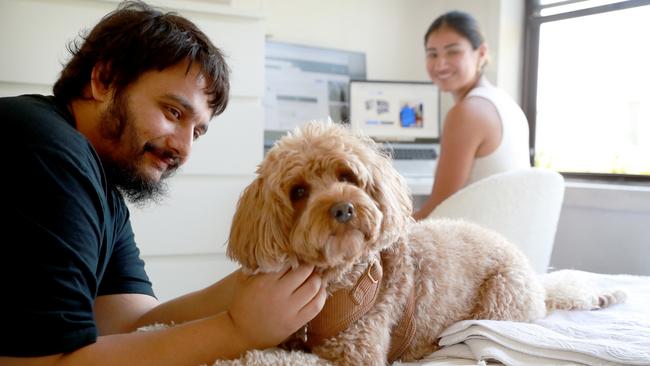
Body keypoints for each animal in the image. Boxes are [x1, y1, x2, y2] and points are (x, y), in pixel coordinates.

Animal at [225, 121, 620, 364]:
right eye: (298, 192)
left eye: (347, 176)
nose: (343, 208)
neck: (343, 278)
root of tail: (534, 280)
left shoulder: (355, 350)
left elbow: (272, 358)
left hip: (501, 301)